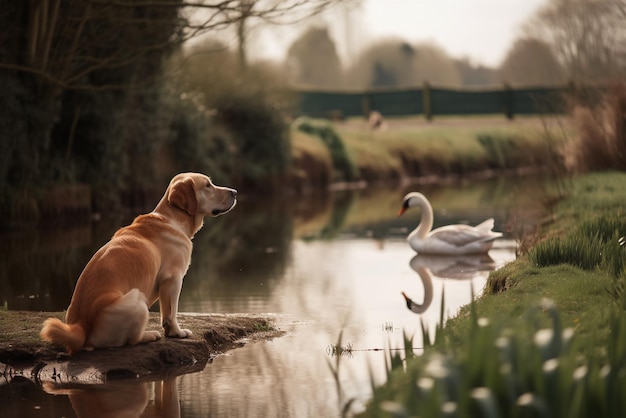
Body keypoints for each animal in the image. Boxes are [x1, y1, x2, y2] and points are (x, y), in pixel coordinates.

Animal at [40, 171, 236, 354]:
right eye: (208, 185)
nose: (235, 192)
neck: (172, 219)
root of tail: (80, 328)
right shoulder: (173, 279)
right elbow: (171, 313)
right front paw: (177, 333)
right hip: (137, 300)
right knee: (130, 340)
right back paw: (149, 335)